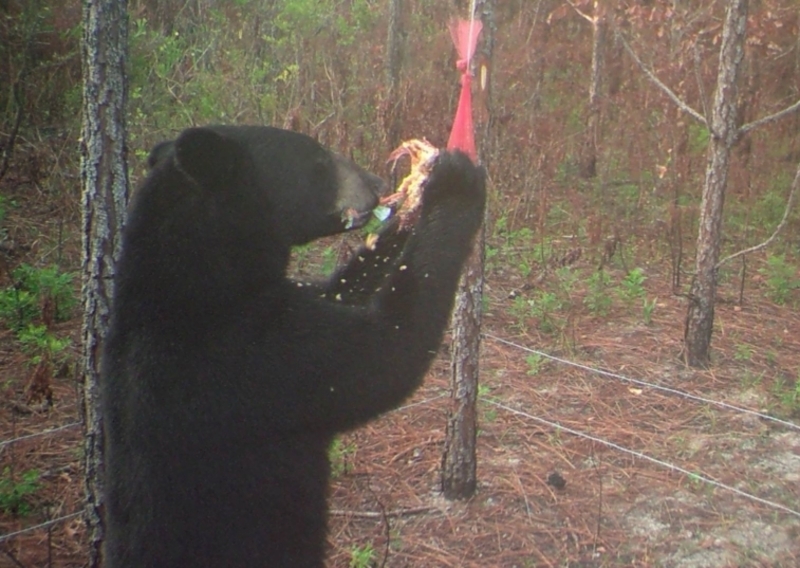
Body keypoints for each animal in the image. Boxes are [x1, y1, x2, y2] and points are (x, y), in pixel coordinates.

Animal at [102, 126, 484, 564]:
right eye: (317, 159)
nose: (377, 184)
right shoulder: (246, 358)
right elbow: (383, 351)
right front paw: (452, 183)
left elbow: (339, 290)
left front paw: (402, 215)